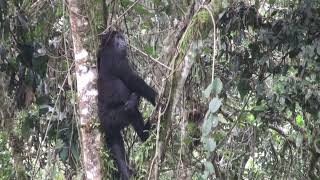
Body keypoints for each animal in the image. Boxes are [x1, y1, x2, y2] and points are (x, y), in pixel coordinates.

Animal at [97, 30, 158, 179]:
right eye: (119, 37)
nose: (124, 41)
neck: (109, 47)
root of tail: (103, 121)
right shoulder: (118, 59)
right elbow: (133, 80)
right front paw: (155, 97)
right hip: (114, 117)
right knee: (131, 110)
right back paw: (145, 135)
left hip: (110, 128)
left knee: (116, 144)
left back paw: (126, 171)